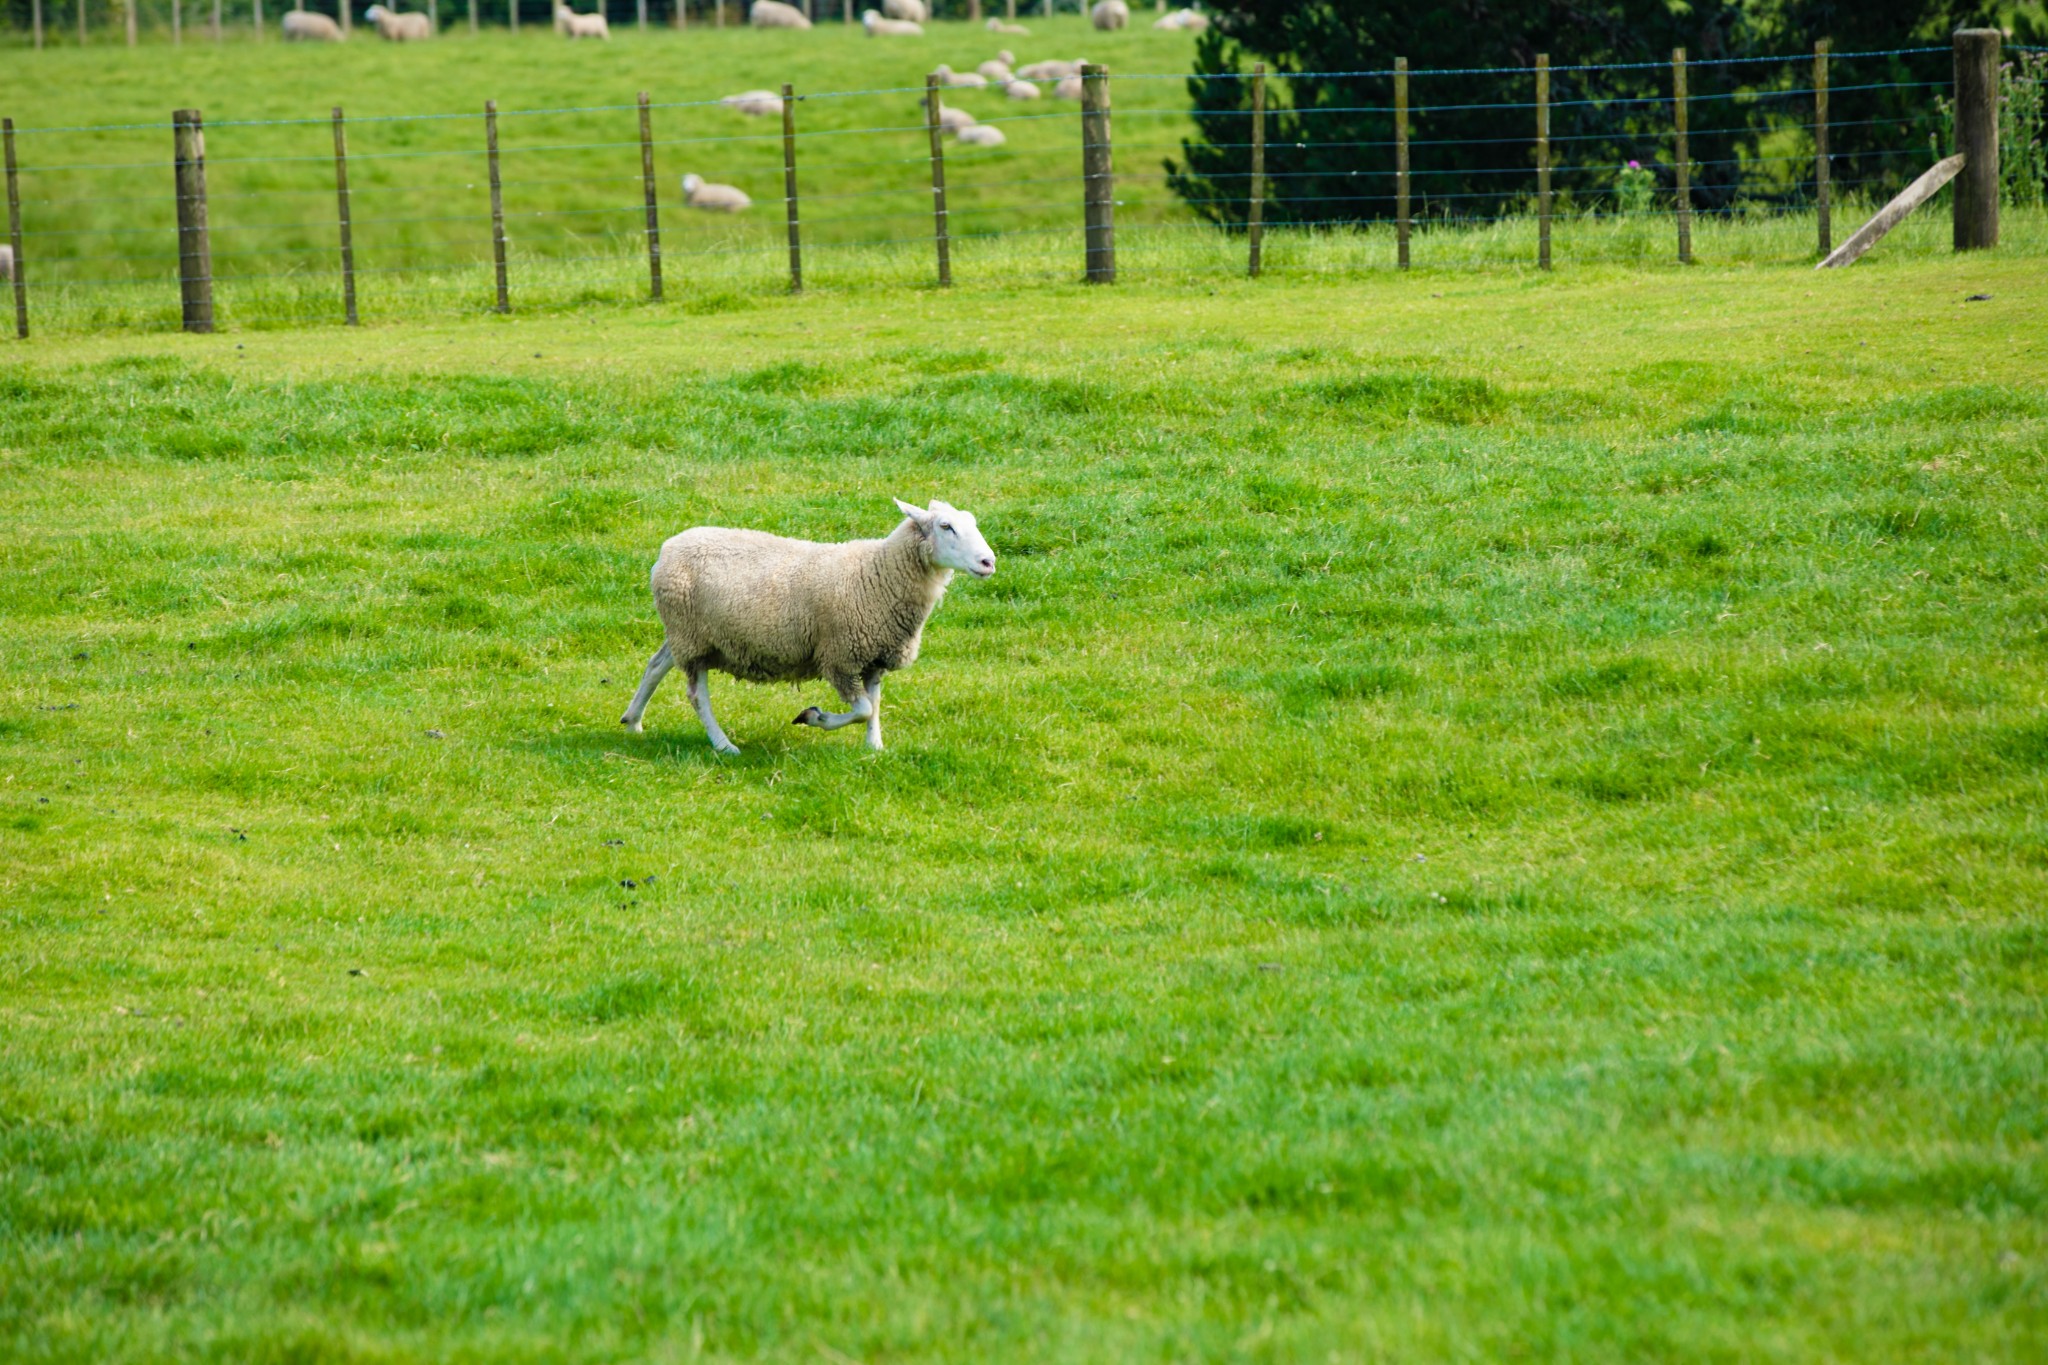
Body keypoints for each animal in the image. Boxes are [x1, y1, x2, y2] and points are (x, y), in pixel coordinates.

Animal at [618, 501, 995, 757]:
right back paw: (724, 745)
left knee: (656, 664)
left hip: (690, 634)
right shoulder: (839, 657)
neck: (877, 574)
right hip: (692, 637)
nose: (988, 561)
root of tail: (667, 550)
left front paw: (874, 746)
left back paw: (633, 720)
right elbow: (862, 709)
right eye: (946, 526)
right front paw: (814, 717)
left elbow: (873, 704)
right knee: (697, 696)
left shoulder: (874, 657)